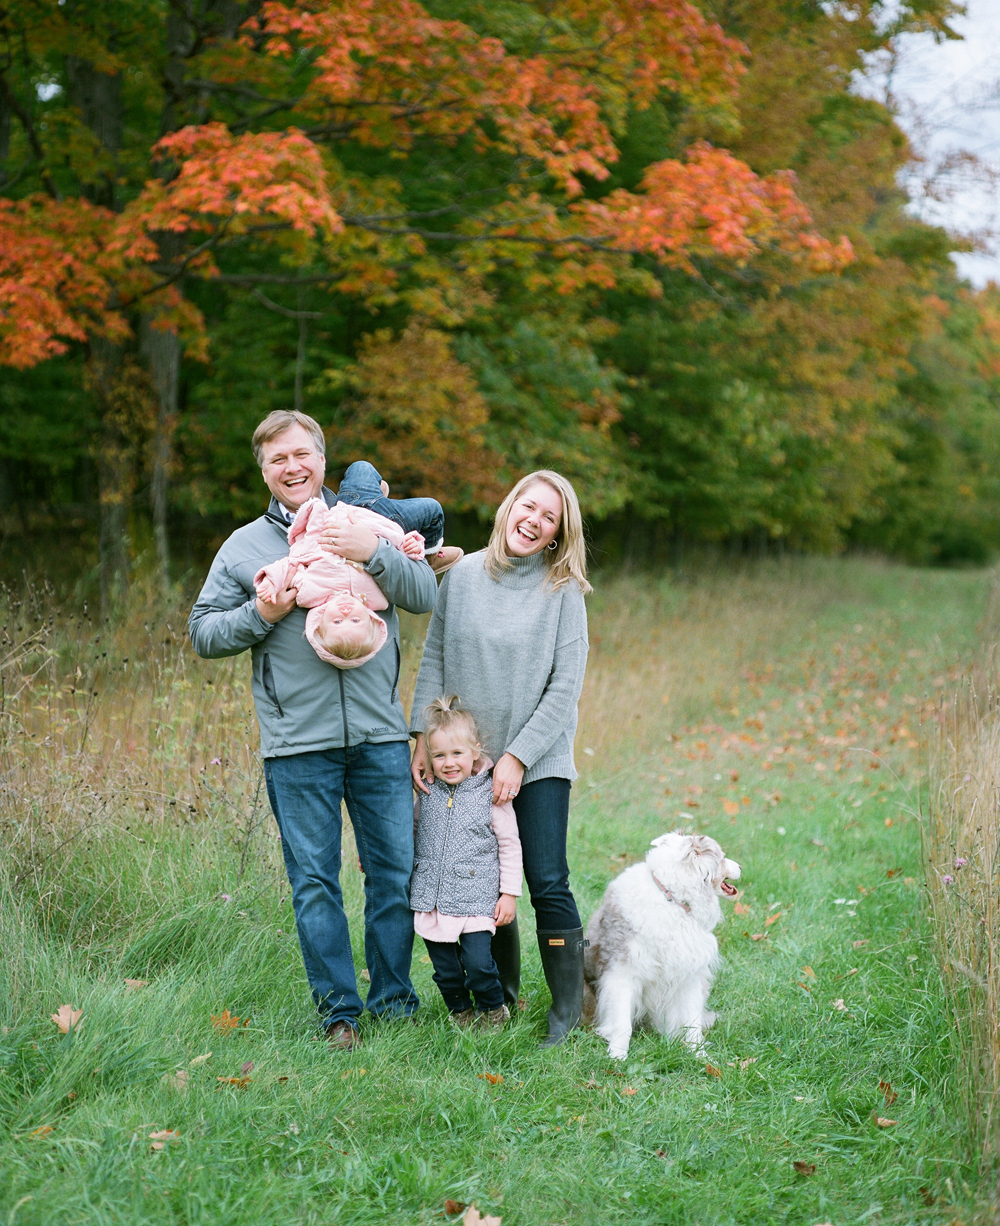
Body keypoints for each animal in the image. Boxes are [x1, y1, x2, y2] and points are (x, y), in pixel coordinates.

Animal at [580, 833, 740, 1064]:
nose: (741, 866)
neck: (671, 898)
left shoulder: (689, 975)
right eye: (722, 857)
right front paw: (617, 1055)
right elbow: (622, 1023)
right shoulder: (622, 973)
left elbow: (692, 1023)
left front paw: (701, 1057)